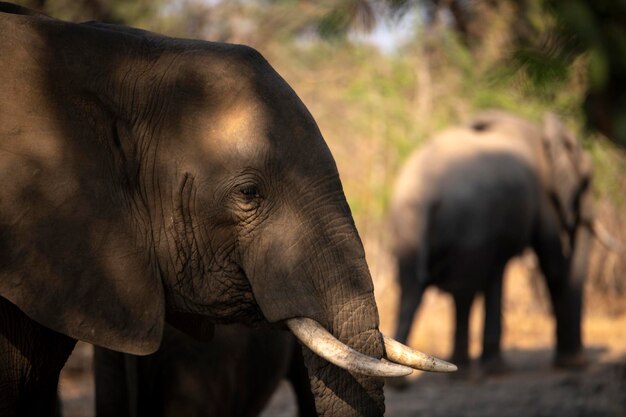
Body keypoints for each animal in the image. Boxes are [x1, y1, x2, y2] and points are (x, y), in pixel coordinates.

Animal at [386, 110, 600, 376]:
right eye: (586, 181)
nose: (580, 363)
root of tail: (427, 193)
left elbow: (497, 273)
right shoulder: (541, 199)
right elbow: (552, 266)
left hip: (407, 223)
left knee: (411, 288)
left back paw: (406, 380)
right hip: (469, 222)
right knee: (462, 292)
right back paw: (465, 373)